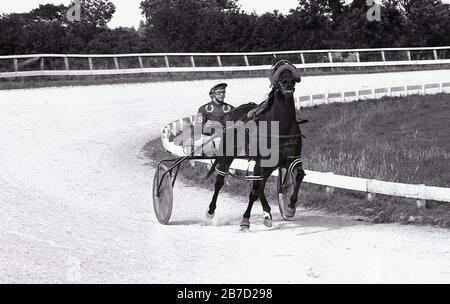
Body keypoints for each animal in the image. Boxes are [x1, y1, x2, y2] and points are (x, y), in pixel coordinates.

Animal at [204, 60, 306, 229]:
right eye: (279, 73)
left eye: (291, 73)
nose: (287, 83)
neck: (281, 126)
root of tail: (233, 112)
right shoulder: (261, 161)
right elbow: (254, 190)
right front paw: (245, 220)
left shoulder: (291, 159)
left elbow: (298, 175)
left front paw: (290, 206)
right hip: (228, 154)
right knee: (220, 181)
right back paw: (210, 212)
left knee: (261, 186)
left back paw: (267, 213)